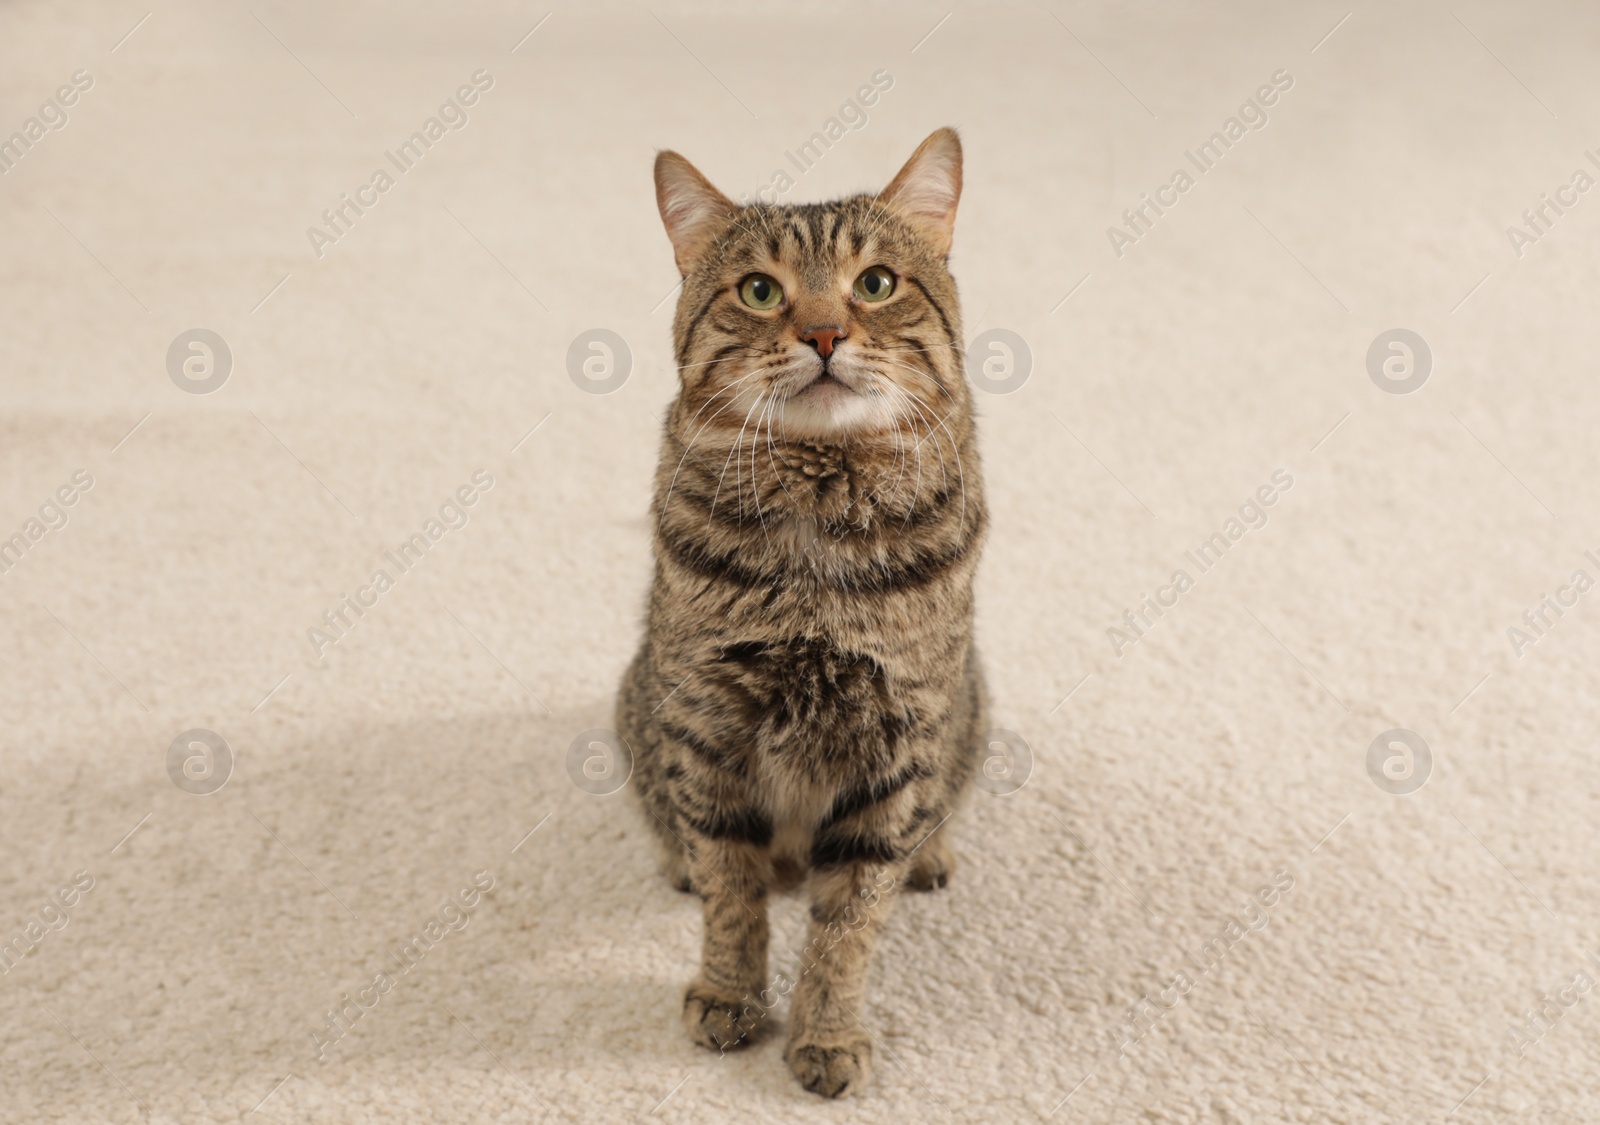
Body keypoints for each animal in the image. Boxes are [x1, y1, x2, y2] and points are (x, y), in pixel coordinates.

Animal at [614, 128, 979, 1094]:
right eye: (760, 290)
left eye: (876, 283)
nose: (822, 332)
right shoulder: (707, 726)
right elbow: (732, 892)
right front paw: (731, 993)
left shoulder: (896, 744)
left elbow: (849, 919)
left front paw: (825, 1030)